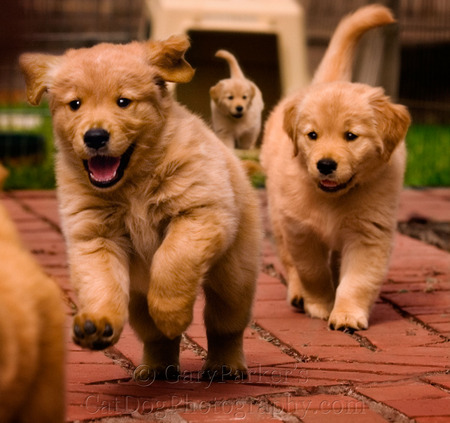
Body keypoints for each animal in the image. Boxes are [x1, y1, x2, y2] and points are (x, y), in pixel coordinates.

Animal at [20, 34, 260, 380]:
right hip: (137, 299)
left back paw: (225, 366)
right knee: (155, 337)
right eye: (75, 104)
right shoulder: (94, 236)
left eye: (123, 102)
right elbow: (100, 282)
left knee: (224, 325)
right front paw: (97, 323)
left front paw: (172, 313)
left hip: (234, 276)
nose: (95, 136)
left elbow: (172, 259)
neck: (132, 186)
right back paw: (157, 368)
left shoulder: (199, 213)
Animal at [260, 4, 412, 332]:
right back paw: (298, 294)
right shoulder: (300, 229)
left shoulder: (369, 233)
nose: (326, 165)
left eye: (351, 136)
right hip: (278, 215)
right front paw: (319, 304)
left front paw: (346, 314)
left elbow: (358, 279)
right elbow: (312, 271)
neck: (333, 199)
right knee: (289, 261)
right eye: (312, 135)